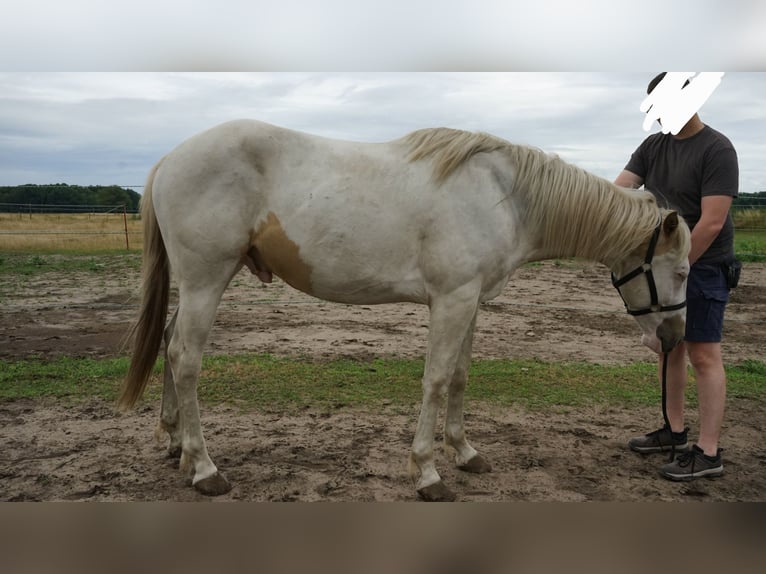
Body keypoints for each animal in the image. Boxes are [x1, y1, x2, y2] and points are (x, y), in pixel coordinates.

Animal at [119, 120, 691, 501]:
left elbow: (460, 376)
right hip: (206, 279)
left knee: (169, 344)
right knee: (185, 358)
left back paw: (175, 444)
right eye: (683, 271)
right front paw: (428, 473)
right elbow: (435, 380)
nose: (673, 337)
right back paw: (204, 468)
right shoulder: (452, 299)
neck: (504, 195)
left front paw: (465, 453)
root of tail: (169, 159)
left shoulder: (470, 300)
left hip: (201, 283)